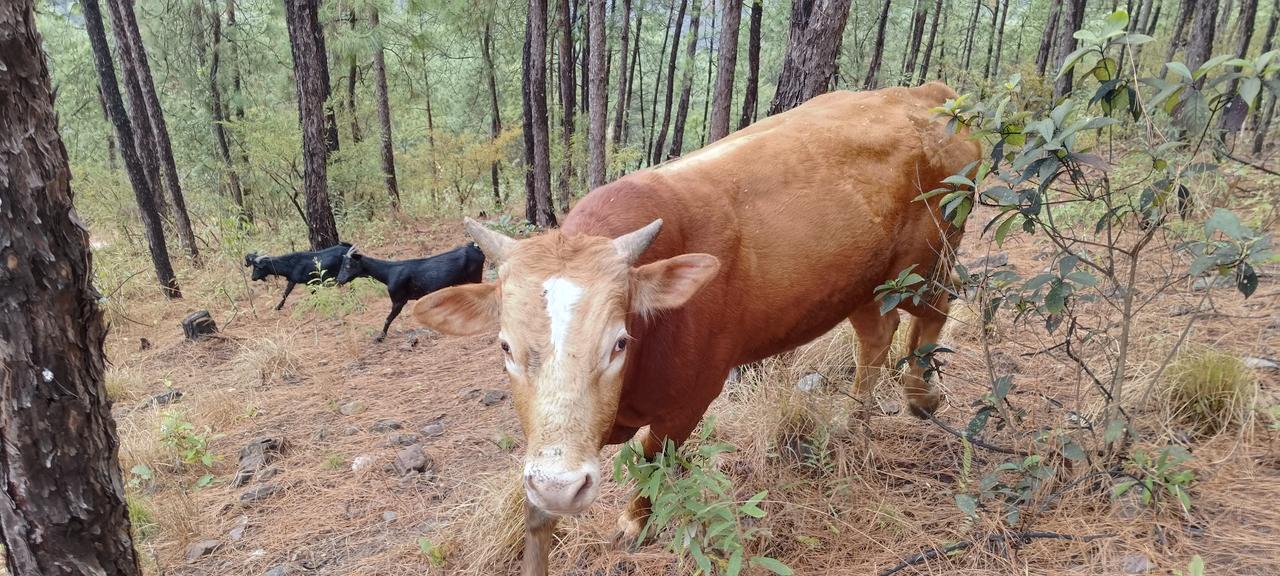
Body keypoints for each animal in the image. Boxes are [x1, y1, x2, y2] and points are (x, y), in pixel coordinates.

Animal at [335, 244, 483, 343]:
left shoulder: (399, 300)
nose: (339, 280)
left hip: (475, 277)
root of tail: (475, 248)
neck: (388, 273)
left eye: (348, 265)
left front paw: (380, 337)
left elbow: (388, 318)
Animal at [414, 81, 972, 576]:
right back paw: (852, 423)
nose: (561, 486)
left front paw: (634, 524)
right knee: (876, 336)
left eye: (619, 342)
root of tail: (928, 93)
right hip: (863, 285)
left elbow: (653, 458)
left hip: (925, 264)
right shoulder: (553, 447)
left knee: (936, 311)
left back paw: (921, 396)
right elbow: (536, 510)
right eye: (505, 347)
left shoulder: (690, 399)